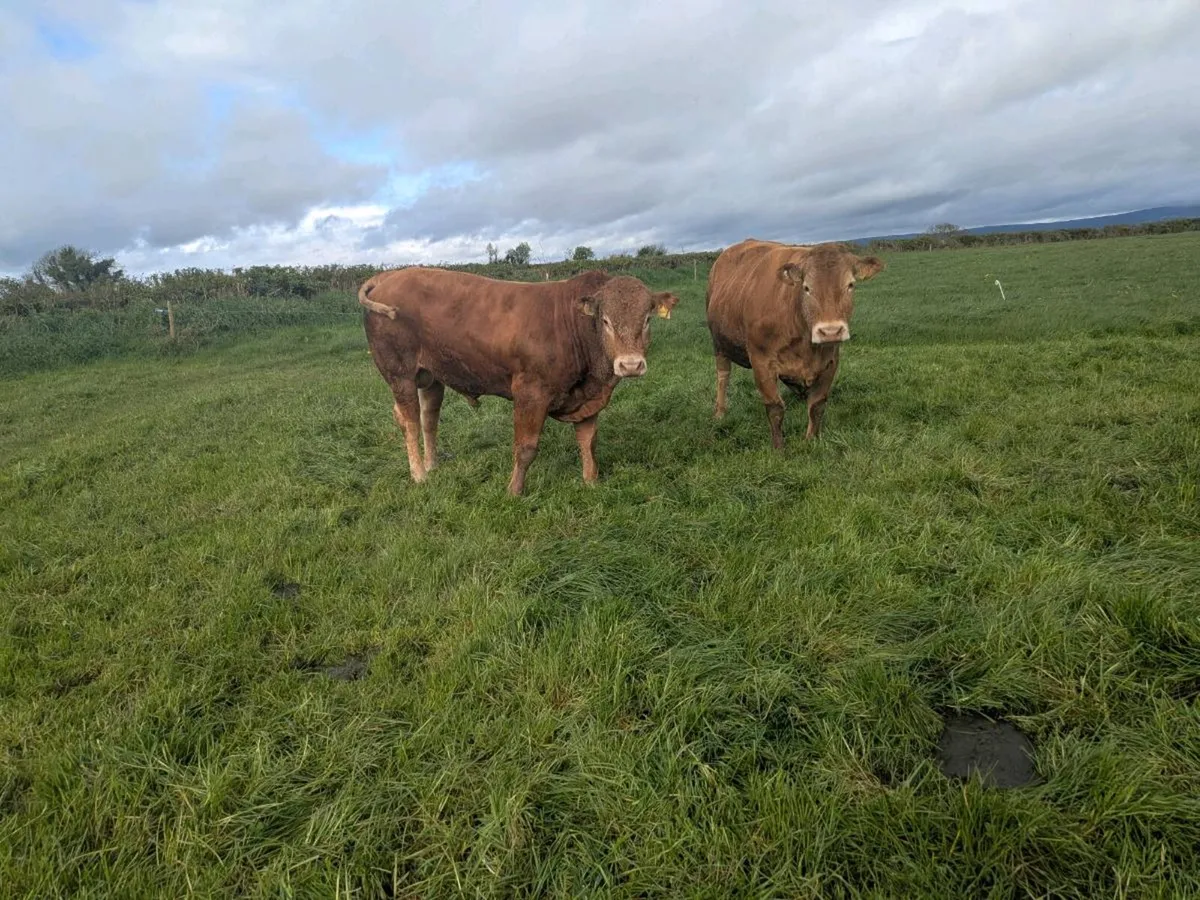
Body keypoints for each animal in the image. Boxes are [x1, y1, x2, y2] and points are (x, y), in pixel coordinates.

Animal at [359, 267, 679, 495]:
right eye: (605, 321)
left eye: (647, 319)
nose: (630, 365)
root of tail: (388, 275)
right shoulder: (530, 393)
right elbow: (526, 448)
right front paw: (514, 491)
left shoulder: (588, 398)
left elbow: (588, 441)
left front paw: (591, 481)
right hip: (400, 373)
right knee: (409, 421)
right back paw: (419, 475)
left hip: (431, 377)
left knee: (428, 419)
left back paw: (433, 464)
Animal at [705, 239, 885, 448]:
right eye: (806, 288)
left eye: (850, 285)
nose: (830, 331)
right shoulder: (761, 362)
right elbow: (775, 408)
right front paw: (779, 448)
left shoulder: (830, 362)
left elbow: (817, 406)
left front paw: (811, 441)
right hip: (718, 344)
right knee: (723, 377)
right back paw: (720, 412)